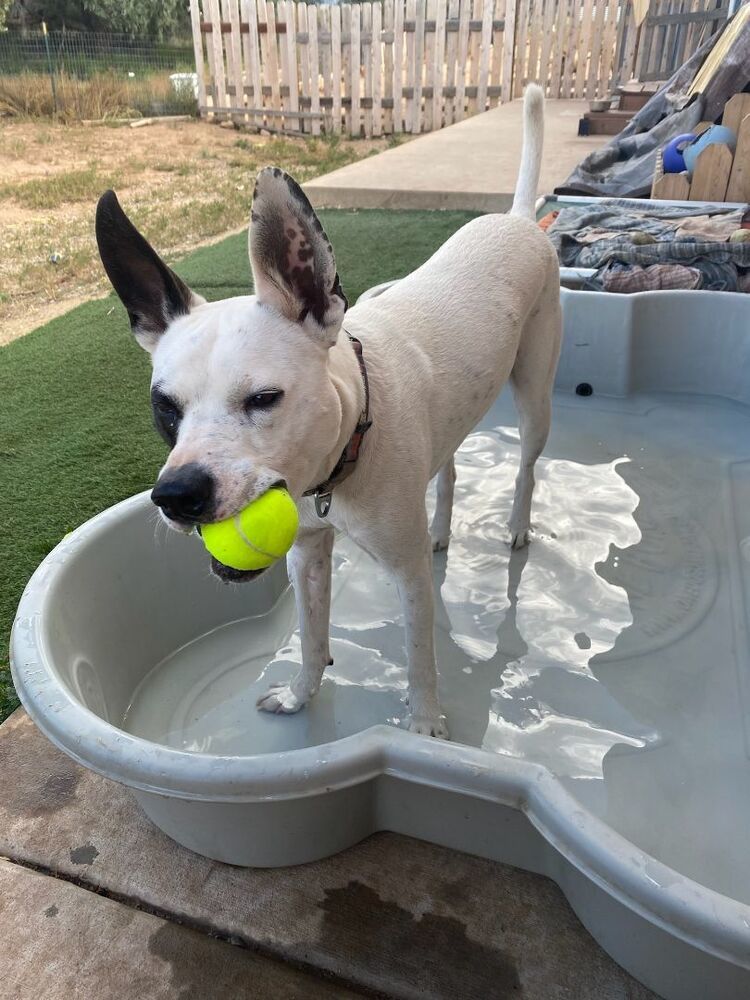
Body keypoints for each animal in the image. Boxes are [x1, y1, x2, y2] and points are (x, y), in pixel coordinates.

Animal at [97, 86, 560, 740]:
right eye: (165, 408)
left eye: (264, 398)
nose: (178, 495)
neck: (350, 441)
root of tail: (518, 219)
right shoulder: (308, 555)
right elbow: (312, 638)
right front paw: (299, 698)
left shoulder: (408, 579)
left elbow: (420, 661)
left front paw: (425, 728)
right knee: (448, 469)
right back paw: (441, 530)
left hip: (534, 394)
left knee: (526, 467)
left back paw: (517, 525)